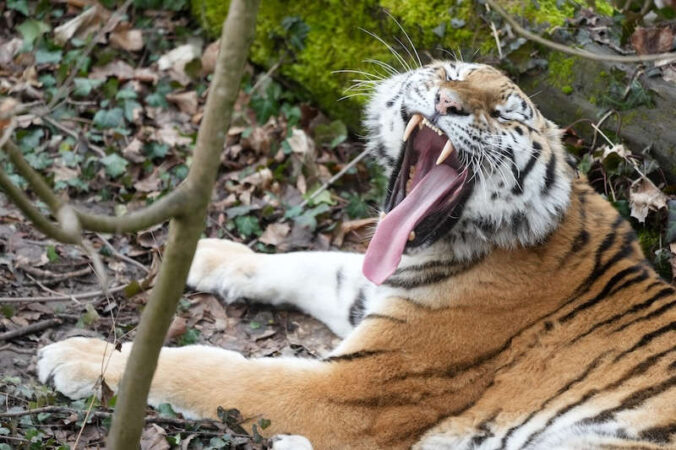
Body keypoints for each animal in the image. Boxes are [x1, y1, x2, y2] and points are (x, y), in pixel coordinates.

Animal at [38, 60, 676, 450]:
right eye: (453, 73)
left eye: (503, 114)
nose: (447, 101)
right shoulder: (369, 283)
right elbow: (299, 261)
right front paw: (204, 252)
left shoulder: (352, 387)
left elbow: (216, 369)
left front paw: (79, 357)